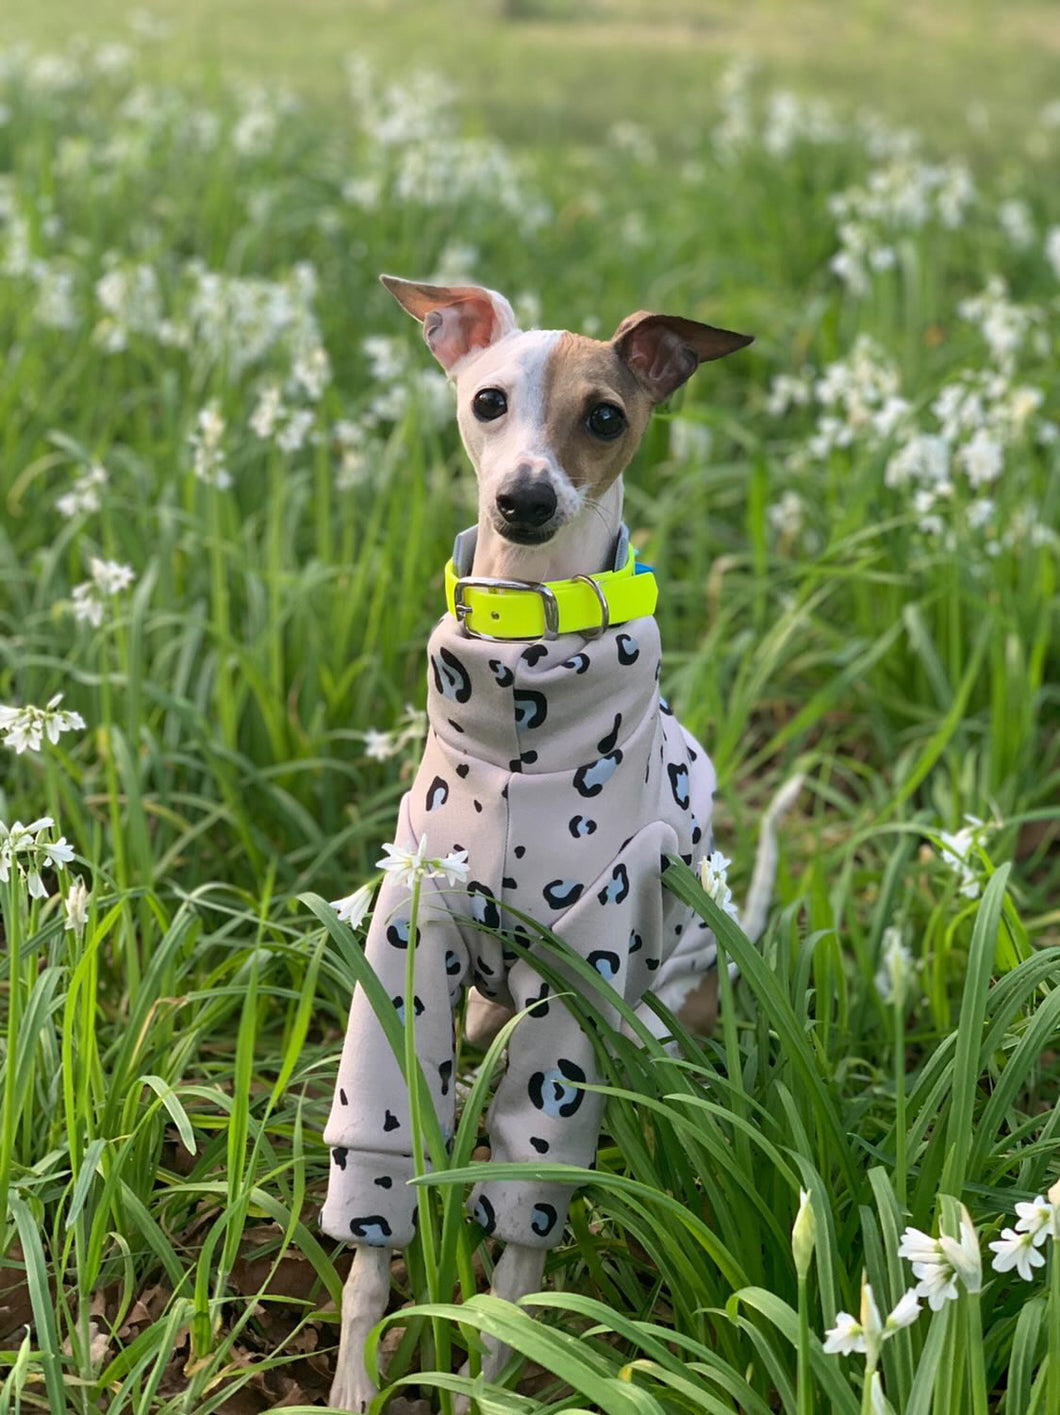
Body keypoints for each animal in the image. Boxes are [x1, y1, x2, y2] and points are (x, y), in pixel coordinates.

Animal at [322, 273, 792, 1403]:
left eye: (607, 417)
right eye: (489, 401)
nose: (525, 501)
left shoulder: (579, 976)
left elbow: (517, 1246)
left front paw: (491, 1376)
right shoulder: (409, 949)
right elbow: (375, 1210)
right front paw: (355, 1378)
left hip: (650, 1017)